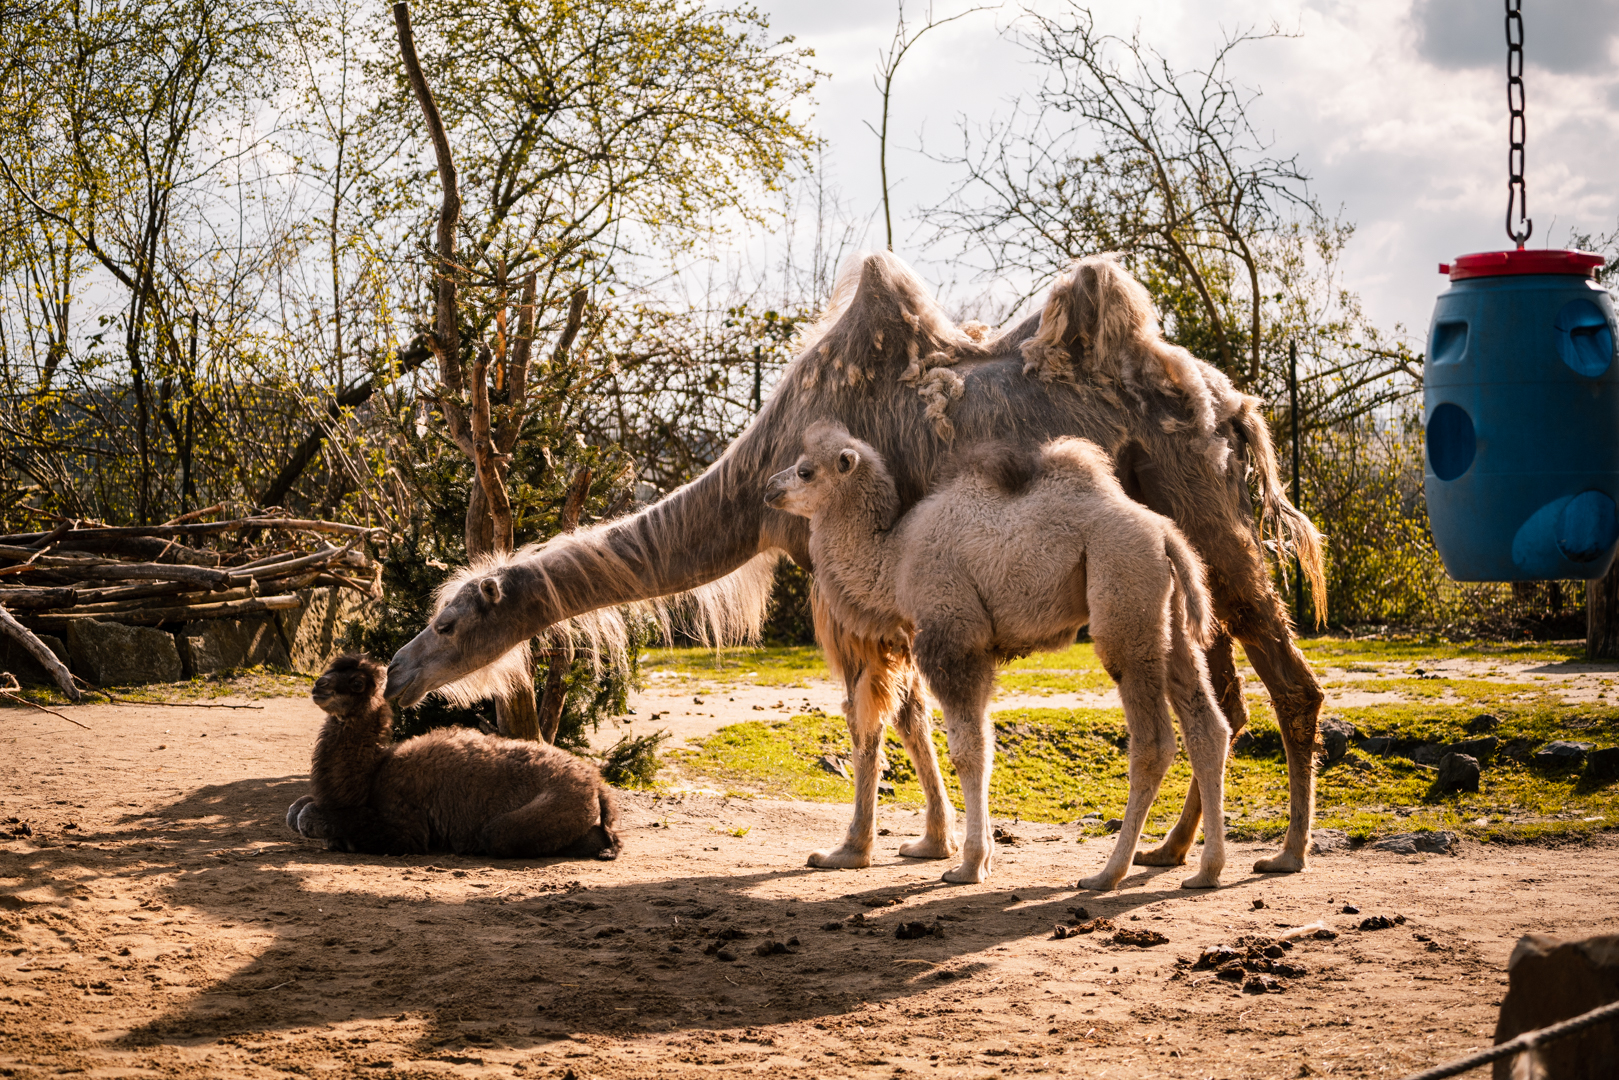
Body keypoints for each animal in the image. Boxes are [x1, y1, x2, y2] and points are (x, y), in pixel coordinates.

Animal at [286, 655, 620, 859]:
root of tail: (596, 784)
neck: (371, 776)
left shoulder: (408, 830)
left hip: (521, 823)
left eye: (357, 683)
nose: (319, 686)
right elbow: (297, 808)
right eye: (330, 669)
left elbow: (308, 816)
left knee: (499, 835)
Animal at [764, 424, 1230, 888]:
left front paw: (968, 866)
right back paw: (1204, 870)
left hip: (1124, 597)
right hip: (1169, 621)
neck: (894, 560)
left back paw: (1107, 874)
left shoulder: (953, 636)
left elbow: (967, 751)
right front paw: (978, 856)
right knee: (1207, 725)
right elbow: (985, 745)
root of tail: (1166, 535)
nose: (770, 487)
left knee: (1153, 741)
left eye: (806, 471)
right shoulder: (979, 651)